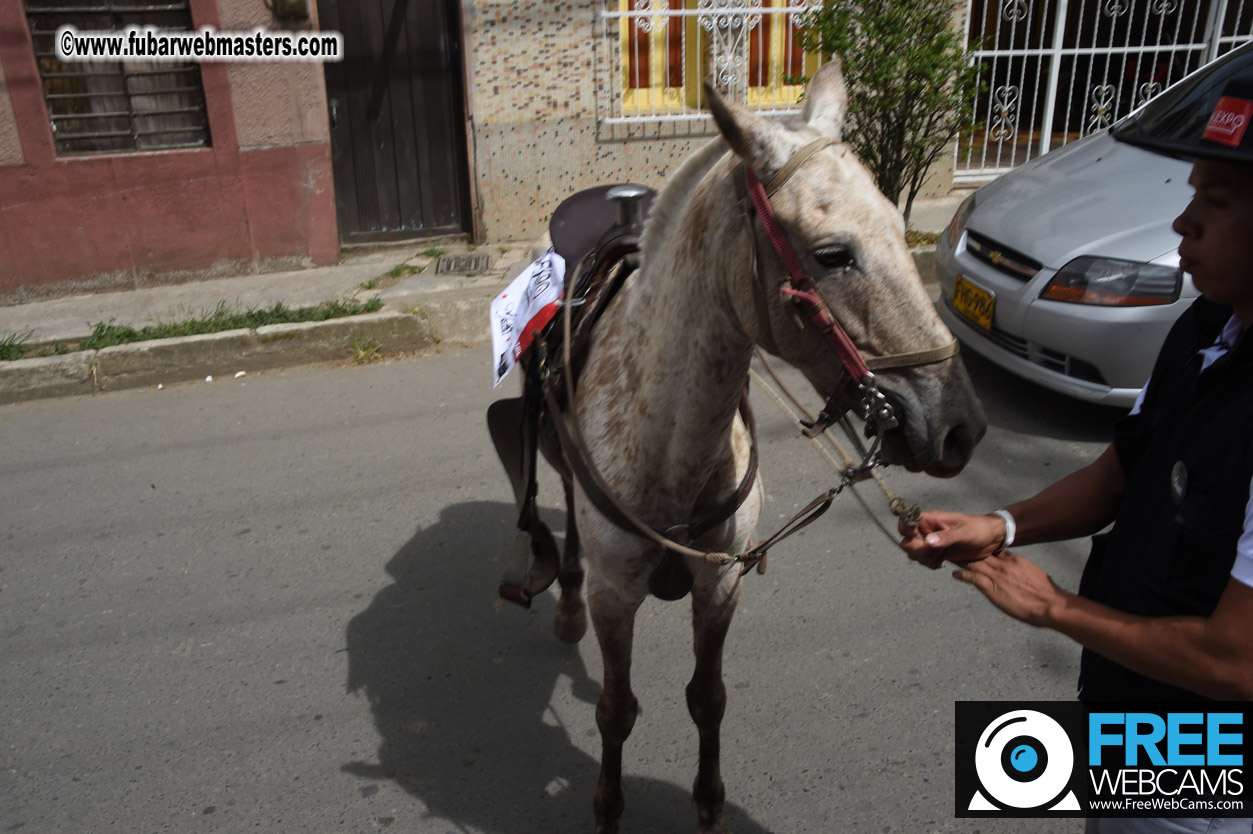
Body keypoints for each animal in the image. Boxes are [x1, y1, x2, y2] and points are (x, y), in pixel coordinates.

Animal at [493, 60, 982, 831]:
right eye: (832, 254)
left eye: (899, 228)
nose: (959, 425)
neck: (672, 446)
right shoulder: (616, 597)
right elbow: (615, 710)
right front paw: (607, 806)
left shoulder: (720, 584)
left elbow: (707, 698)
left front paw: (709, 804)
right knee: (566, 504)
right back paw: (564, 597)